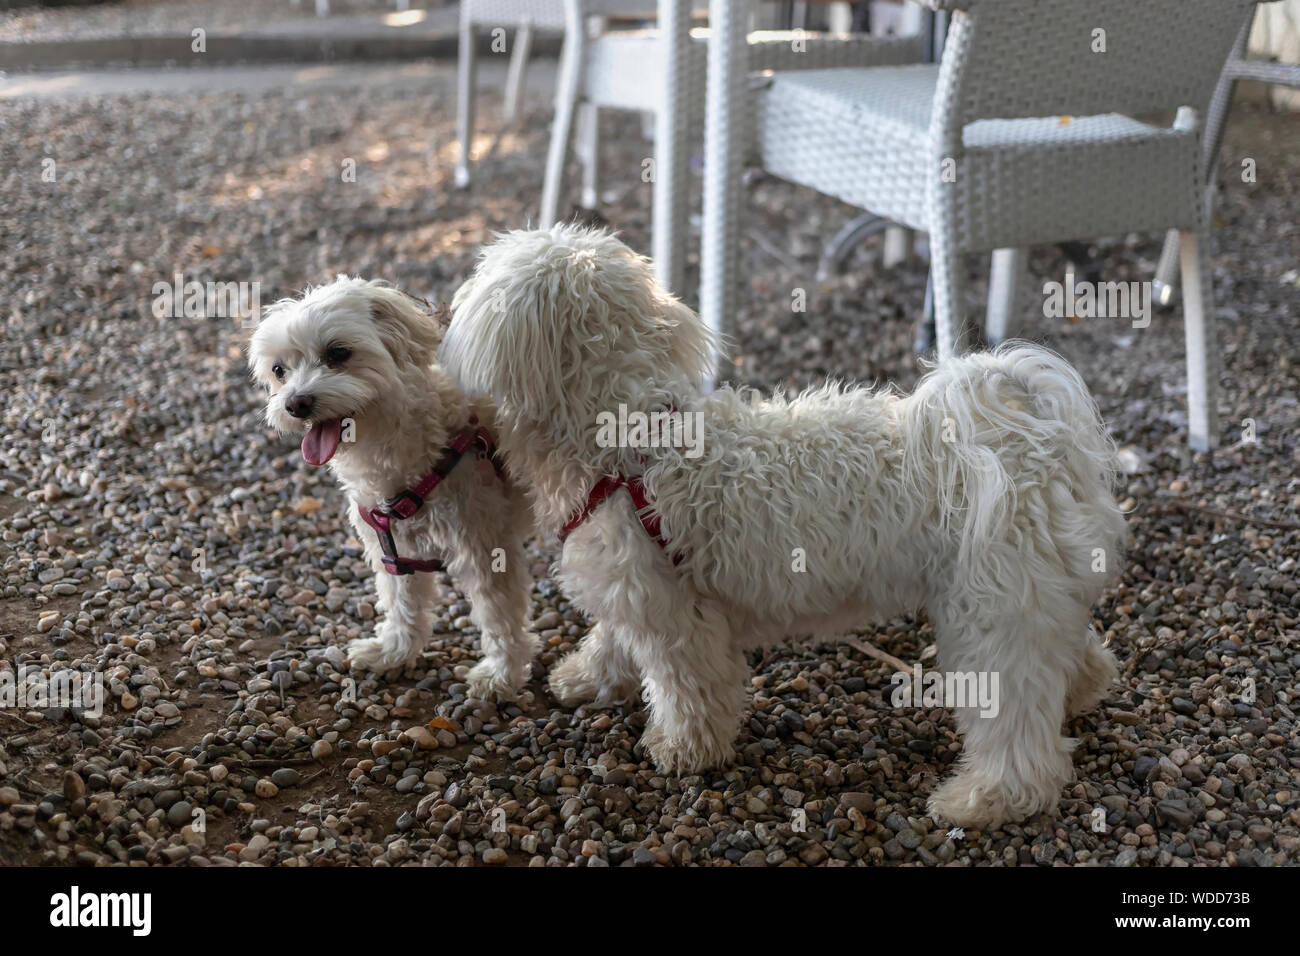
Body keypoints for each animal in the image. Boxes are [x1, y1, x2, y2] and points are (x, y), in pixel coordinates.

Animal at [248, 273, 538, 697]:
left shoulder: (486, 548)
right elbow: (403, 605)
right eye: (279, 370)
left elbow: (499, 616)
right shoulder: (393, 548)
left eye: (338, 353)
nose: (295, 404)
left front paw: (501, 675)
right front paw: (393, 653)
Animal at [439, 226, 1128, 832]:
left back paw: (984, 800)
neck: (636, 446)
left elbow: (686, 687)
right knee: (1071, 659)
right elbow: (613, 638)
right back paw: (1078, 692)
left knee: (1018, 729)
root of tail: (1034, 450)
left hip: (988, 614)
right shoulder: (636, 587)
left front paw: (683, 748)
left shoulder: (674, 612)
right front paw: (585, 677)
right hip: (1029, 601)